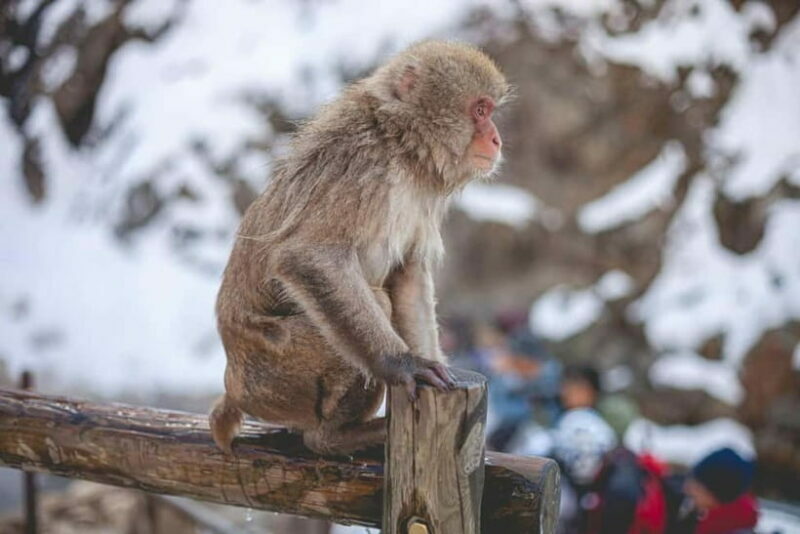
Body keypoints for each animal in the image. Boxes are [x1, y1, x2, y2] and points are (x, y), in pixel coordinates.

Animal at [210, 40, 508, 456]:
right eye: (480, 110)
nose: (496, 139)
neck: (401, 146)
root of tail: (233, 383)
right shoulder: (358, 165)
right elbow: (307, 256)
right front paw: (401, 363)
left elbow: (408, 275)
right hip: (275, 373)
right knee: (372, 301)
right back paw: (333, 437)